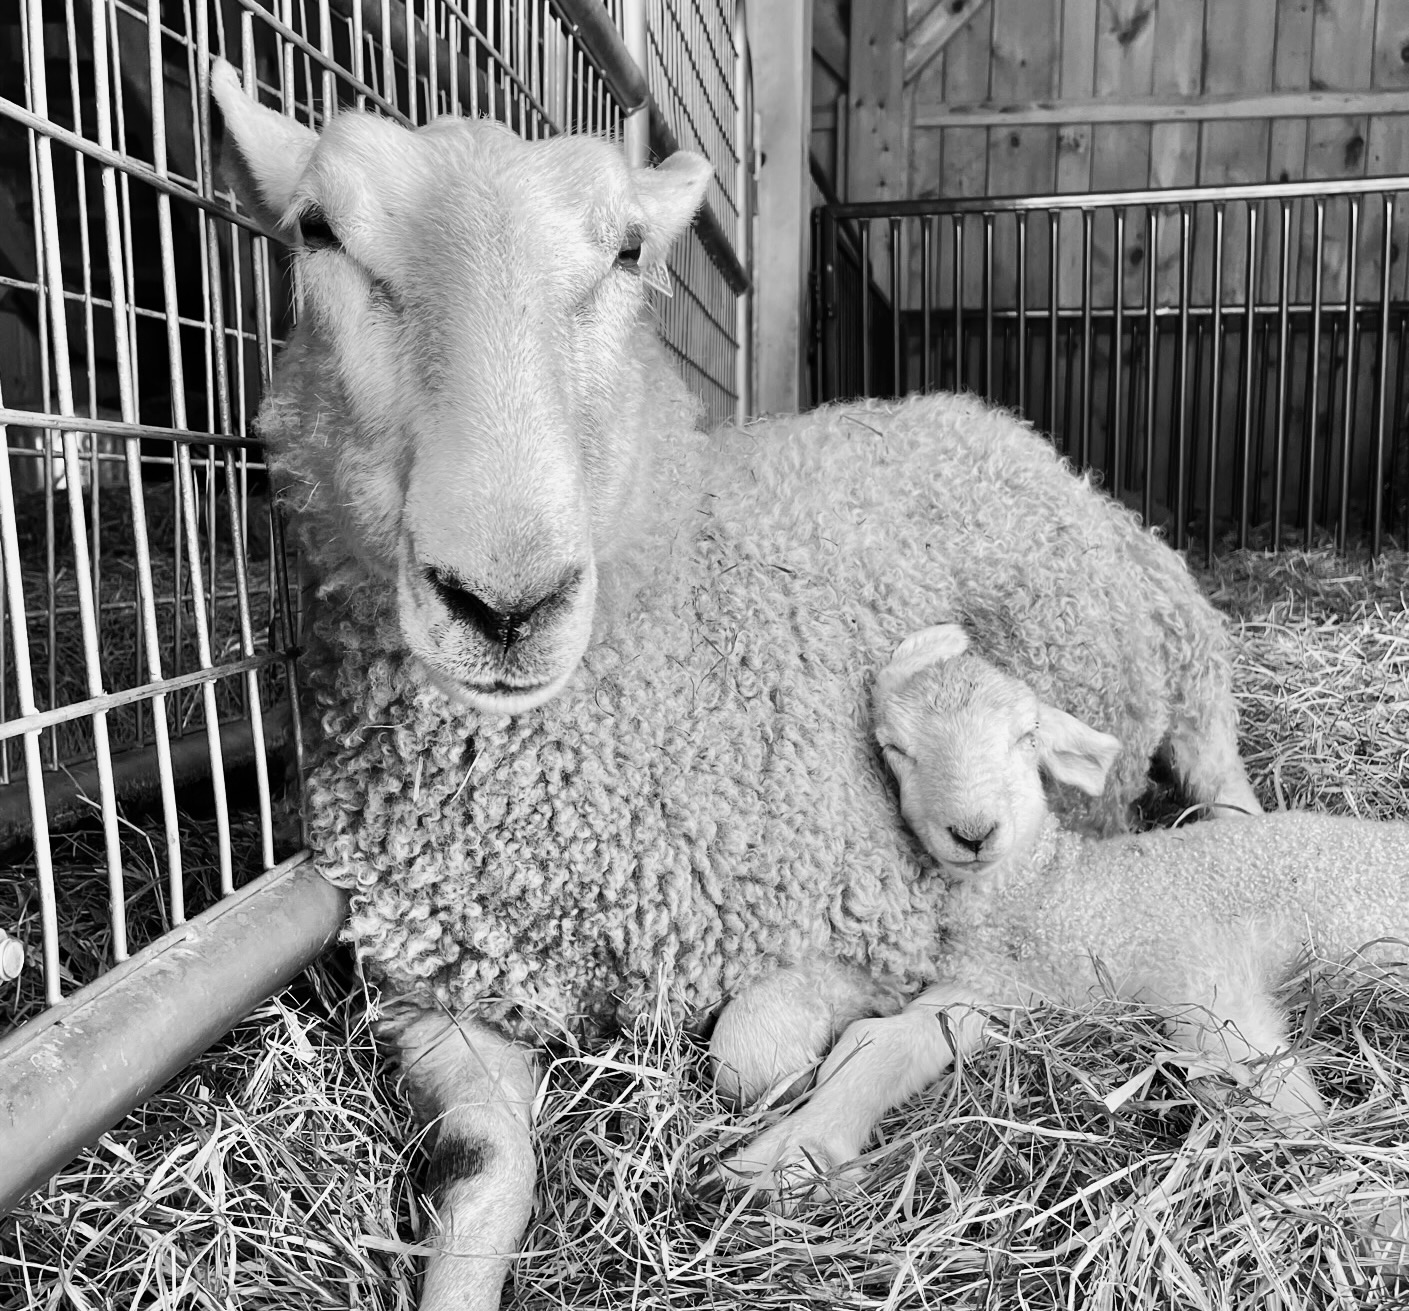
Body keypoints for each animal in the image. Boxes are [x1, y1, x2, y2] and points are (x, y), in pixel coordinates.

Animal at [209, 58, 1263, 1310]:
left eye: (626, 250)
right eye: (316, 229)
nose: (504, 604)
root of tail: (978, 416)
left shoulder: (880, 907)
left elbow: (747, 1053)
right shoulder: (435, 989)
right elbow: (479, 1167)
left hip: (1180, 638)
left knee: (1219, 770)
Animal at [719, 624, 1409, 1198]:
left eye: (1026, 737)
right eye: (895, 748)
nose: (973, 832)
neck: (1055, 887)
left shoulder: (1200, 971)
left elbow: (1264, 1078)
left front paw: (1347, 1182)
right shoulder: (995, 987)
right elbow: (880, 1044)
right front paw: (790, 1151)